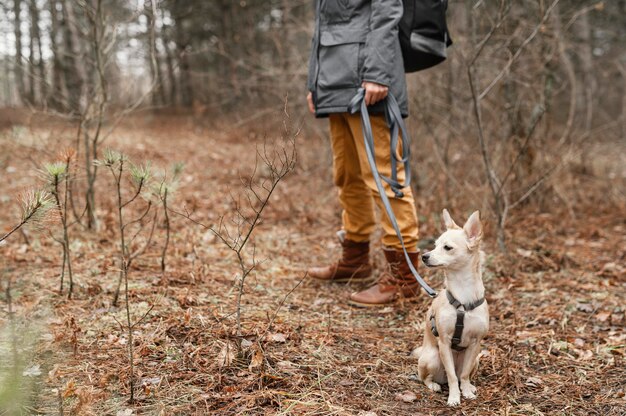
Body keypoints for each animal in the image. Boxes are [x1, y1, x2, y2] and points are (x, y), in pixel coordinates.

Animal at [414, 210, 488, 404]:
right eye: (434, 246)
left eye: (447, 247)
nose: (424, 256)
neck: (463, 297)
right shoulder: (444, 342)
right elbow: (452, 376)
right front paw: (454, 397)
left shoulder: (475, 343)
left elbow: (463, 375)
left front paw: (466, 392)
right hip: (433, 357)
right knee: (426, 377)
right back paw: (434, 385)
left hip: (476, 359)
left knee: (464, 374)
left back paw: (470, 386)